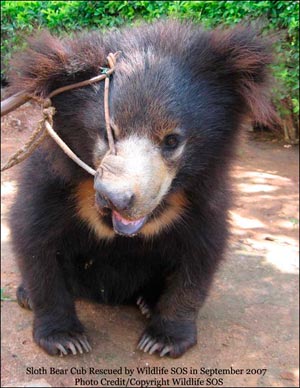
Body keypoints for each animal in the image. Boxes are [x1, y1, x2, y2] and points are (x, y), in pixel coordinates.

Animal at [6, 19, 274, 356]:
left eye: (172, 140)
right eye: (107, 133)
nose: (116, 199)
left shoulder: (203, 192)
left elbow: (200, 252)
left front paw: (162, 340)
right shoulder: (52, 180)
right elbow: (34, 237)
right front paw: (65, 338)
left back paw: (148, 301)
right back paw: (25, 294)